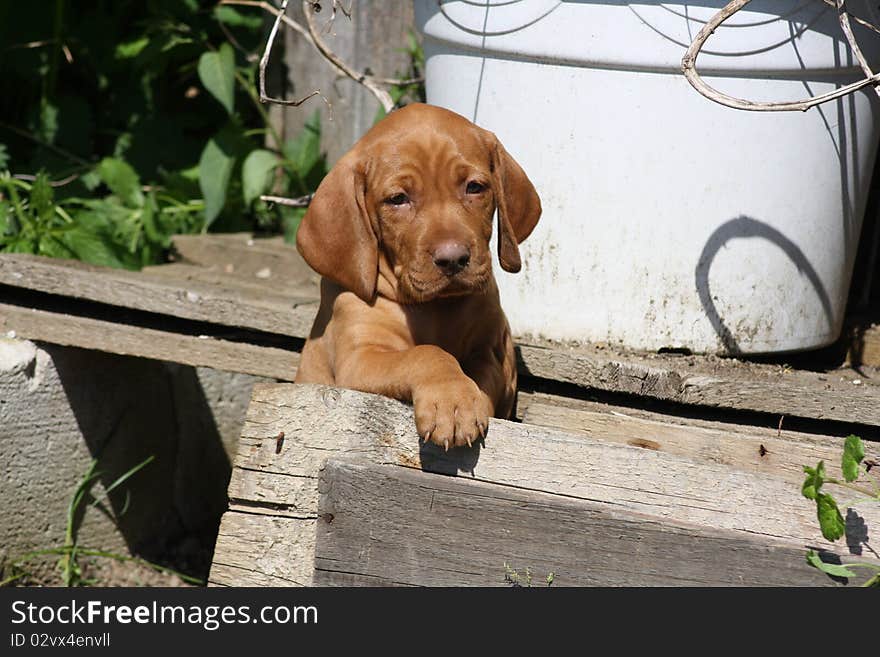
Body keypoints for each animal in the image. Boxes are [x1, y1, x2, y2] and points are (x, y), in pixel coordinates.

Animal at [296, 102, 540, 448]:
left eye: (475, 187)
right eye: (398, 199)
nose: (453, 259)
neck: (435, 307)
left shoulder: (493, 356)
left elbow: (479, 379)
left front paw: (463, 401)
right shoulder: (358, 359)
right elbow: (426, 354)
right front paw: (450, 400)